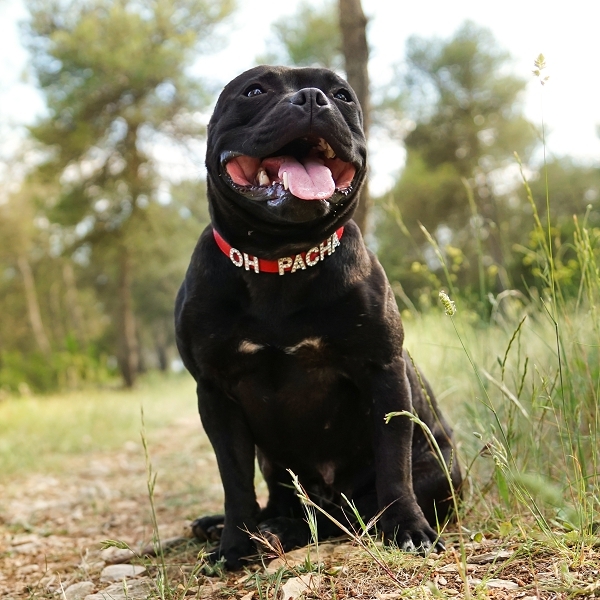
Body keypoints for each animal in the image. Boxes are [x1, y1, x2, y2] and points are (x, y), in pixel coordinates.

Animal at [176, 65, 462, 568]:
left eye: (342, 95)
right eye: (254, 90)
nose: (311, 99)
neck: (281, 262)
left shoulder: (383, 371)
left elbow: (394, 466)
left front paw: (408, 529)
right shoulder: (214, 394)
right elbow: (235, 482)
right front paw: (233, 547)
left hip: (436, 468)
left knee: (345, 515)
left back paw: (286, 530)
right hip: (274, 465)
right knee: (281, 501)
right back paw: (242, 525)